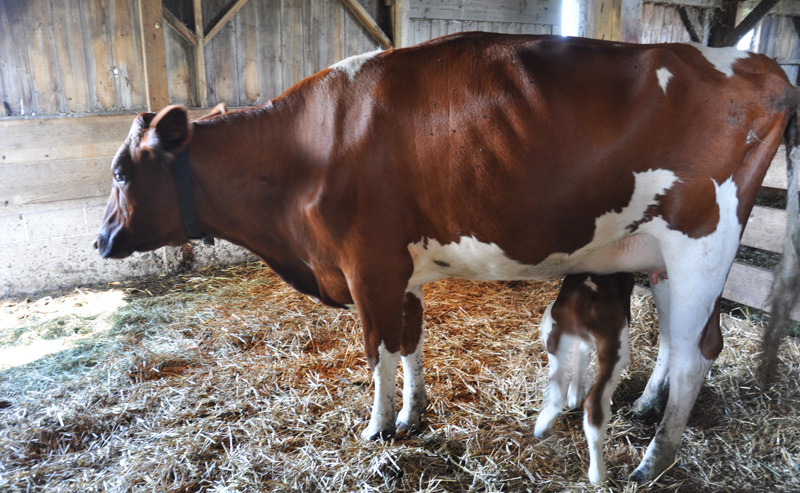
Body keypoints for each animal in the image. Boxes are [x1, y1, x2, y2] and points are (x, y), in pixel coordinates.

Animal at [534, 272, 634, 483]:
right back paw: (598, 474)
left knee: (557, 385)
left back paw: (543, 424)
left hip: (552, 329)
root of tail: (584, 303)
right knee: (594, 407)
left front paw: (574, 394)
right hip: (616, 350)